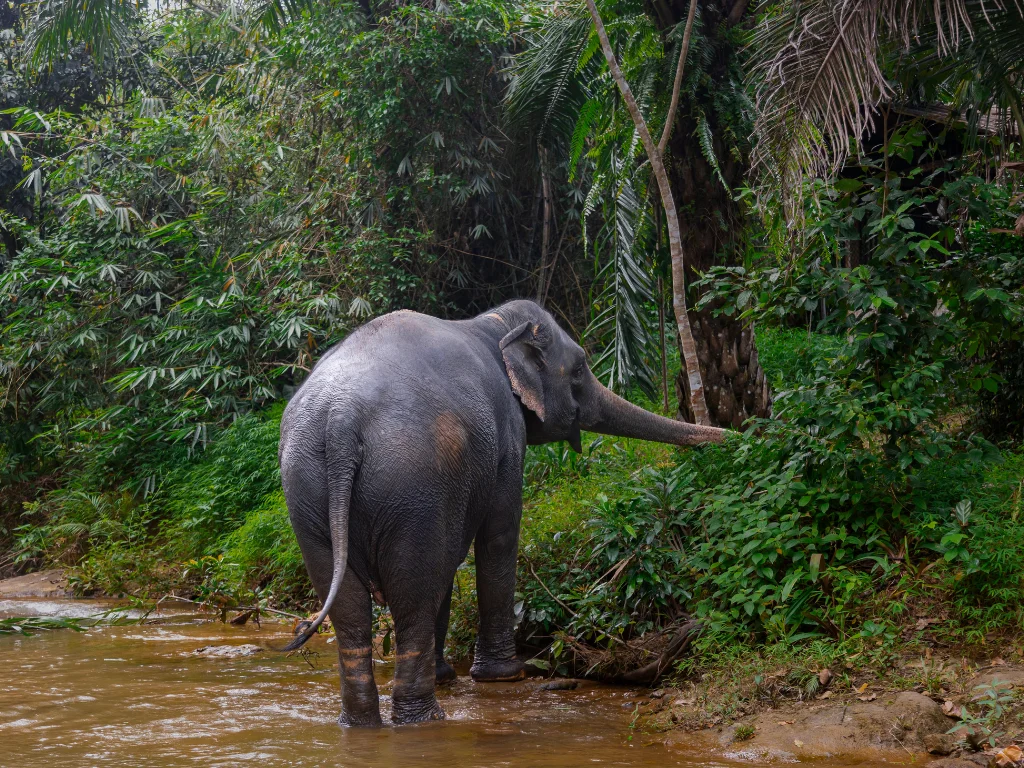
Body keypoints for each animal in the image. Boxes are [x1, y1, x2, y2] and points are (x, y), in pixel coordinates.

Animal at [278, 299, 726, 726]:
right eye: (580, 368)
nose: (734, 435)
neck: (492, 323)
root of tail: (342, 420)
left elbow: (450, 562)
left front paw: (450, 675)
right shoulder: (508, 433)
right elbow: (499, 535)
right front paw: (507, 674)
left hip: (308, 493)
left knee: (350, 608)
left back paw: (361, 724)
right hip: (409, 483)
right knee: (413, 592)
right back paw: (425, 719)